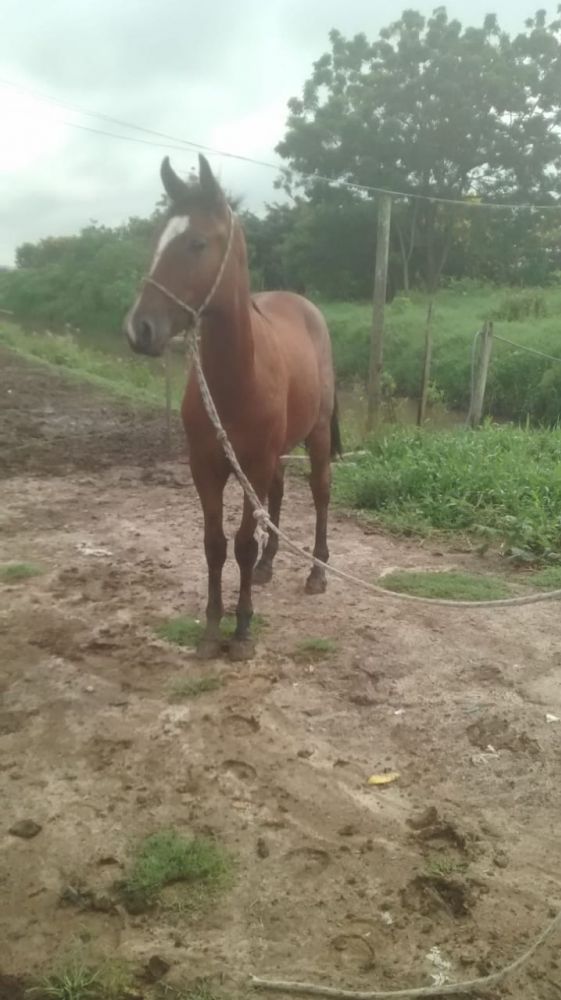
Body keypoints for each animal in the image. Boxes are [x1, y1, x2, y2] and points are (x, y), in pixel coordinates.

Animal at [124, 154, 341, 661]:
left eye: (197, 243)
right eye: (157, 239)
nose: (139, 329)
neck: (236, 379)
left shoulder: (252, 464)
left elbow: (241, 542)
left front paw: (241, 630)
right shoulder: (206, 465)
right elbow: (214, 544)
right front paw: (210, 629)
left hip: (316, 435)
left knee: (320, 492)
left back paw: (316, 571)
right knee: (277, 496)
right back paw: (267, 566)